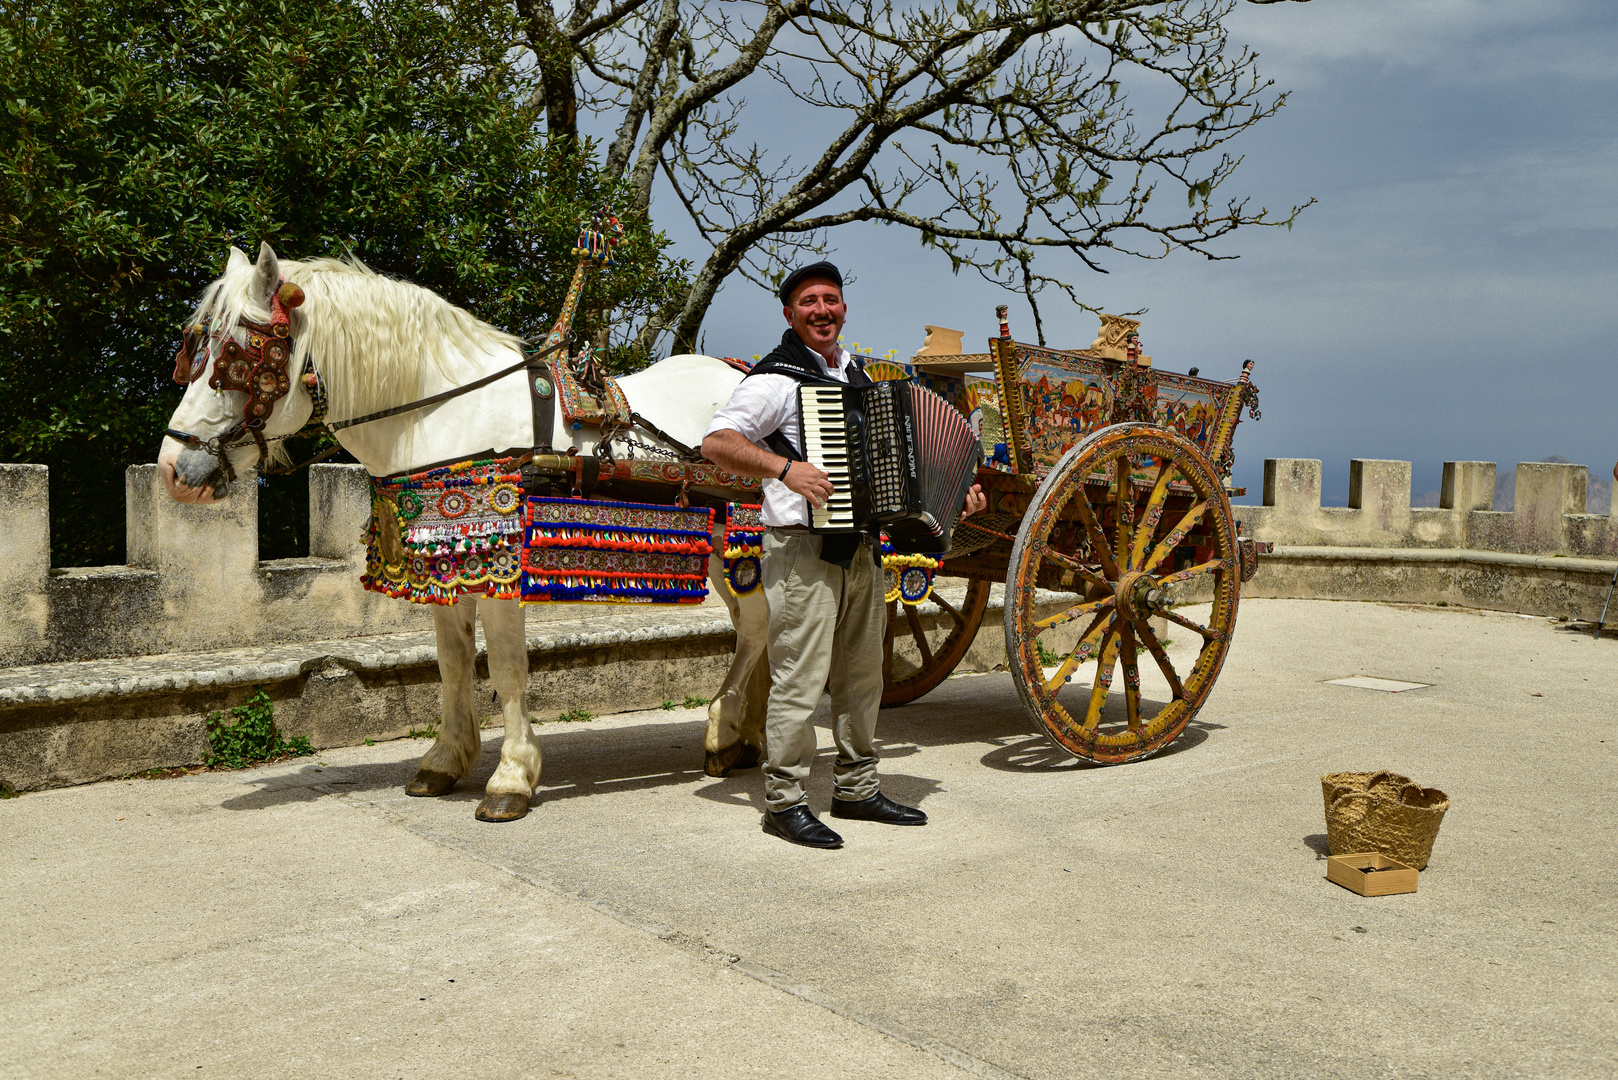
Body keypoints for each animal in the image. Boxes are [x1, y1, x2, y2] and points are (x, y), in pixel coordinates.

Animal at [160, 242, 766, 819]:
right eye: (195, 353)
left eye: (237, 358)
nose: (173, 472)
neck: (441, 416)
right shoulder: (442, 565)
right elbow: (452, 663)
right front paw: (446, 759)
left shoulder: (502, 569)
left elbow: (506, 668)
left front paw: (512, 776)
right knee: (756, 628)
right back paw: (752, 737)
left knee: (757, 627)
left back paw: (723, 730)